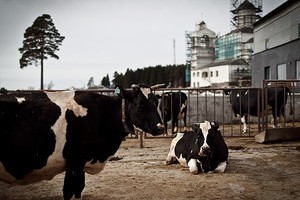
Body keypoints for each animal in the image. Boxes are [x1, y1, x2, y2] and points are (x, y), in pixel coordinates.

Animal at [0, 83, 164, 200]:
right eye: (141, 105)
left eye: (156, 103)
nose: (161, 128)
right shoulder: (75, 161)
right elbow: (69, 191)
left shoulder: (82, 163)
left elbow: (79, 190)